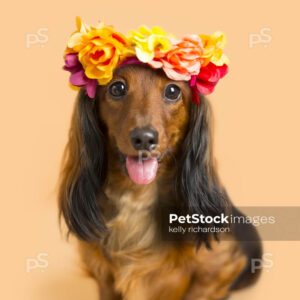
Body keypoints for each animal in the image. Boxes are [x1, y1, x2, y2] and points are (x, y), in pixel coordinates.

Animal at [58, 65, 260, 300]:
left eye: (173, 91)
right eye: (117, 88)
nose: (144, 138)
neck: (137, 199)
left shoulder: (219, 269)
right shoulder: (104, 277)